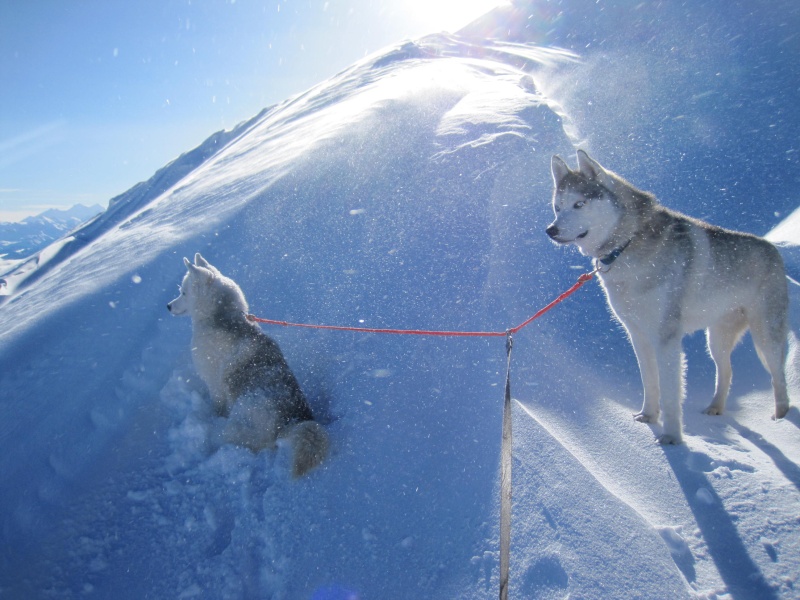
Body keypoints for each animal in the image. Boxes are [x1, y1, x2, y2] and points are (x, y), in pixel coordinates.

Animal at [167, 254, 330, 478]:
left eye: (183, 292)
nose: (168, 306)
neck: (223, 317)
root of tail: (290, 422)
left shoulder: (214, 385)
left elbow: (218, 406)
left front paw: (213, 416)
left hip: (235, 425)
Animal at [548, 150, 792, 440]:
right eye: (558, 207)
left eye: (580, 204)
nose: (551, 230)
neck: (627, 244)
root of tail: (774, 250)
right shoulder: (638, 336)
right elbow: (650, 383)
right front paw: (647, 416)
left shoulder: (667, 339)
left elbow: (671, 392)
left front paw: (672, 437)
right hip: (716, 339)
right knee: (727, 370)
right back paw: (715, 408)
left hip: (765, 336)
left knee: (778, 376)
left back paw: (781, 418)